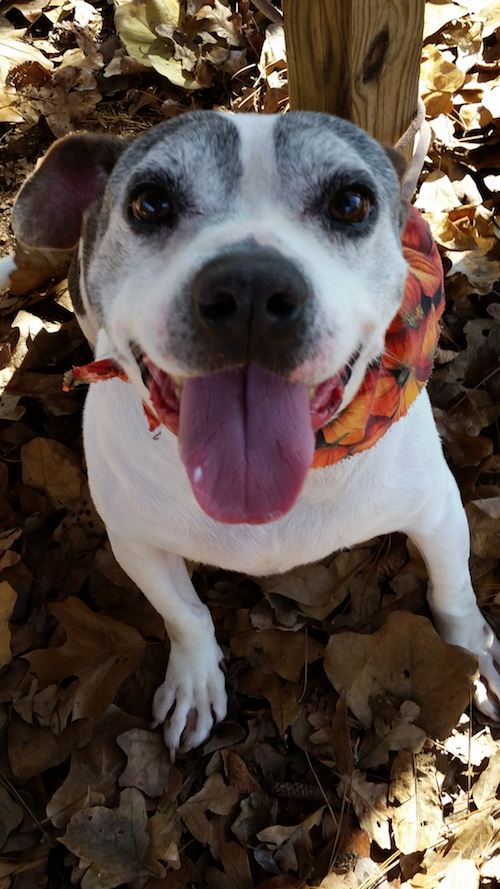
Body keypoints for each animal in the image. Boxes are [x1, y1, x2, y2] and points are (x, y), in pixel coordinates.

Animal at [7, 110, 500, 757]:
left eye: (350, 203)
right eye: (149, 202)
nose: (249, 288)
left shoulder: (437, 510)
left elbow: (453, 591)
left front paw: (472, 653)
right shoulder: (135, 541)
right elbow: (184, 613)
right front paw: (195, 681)